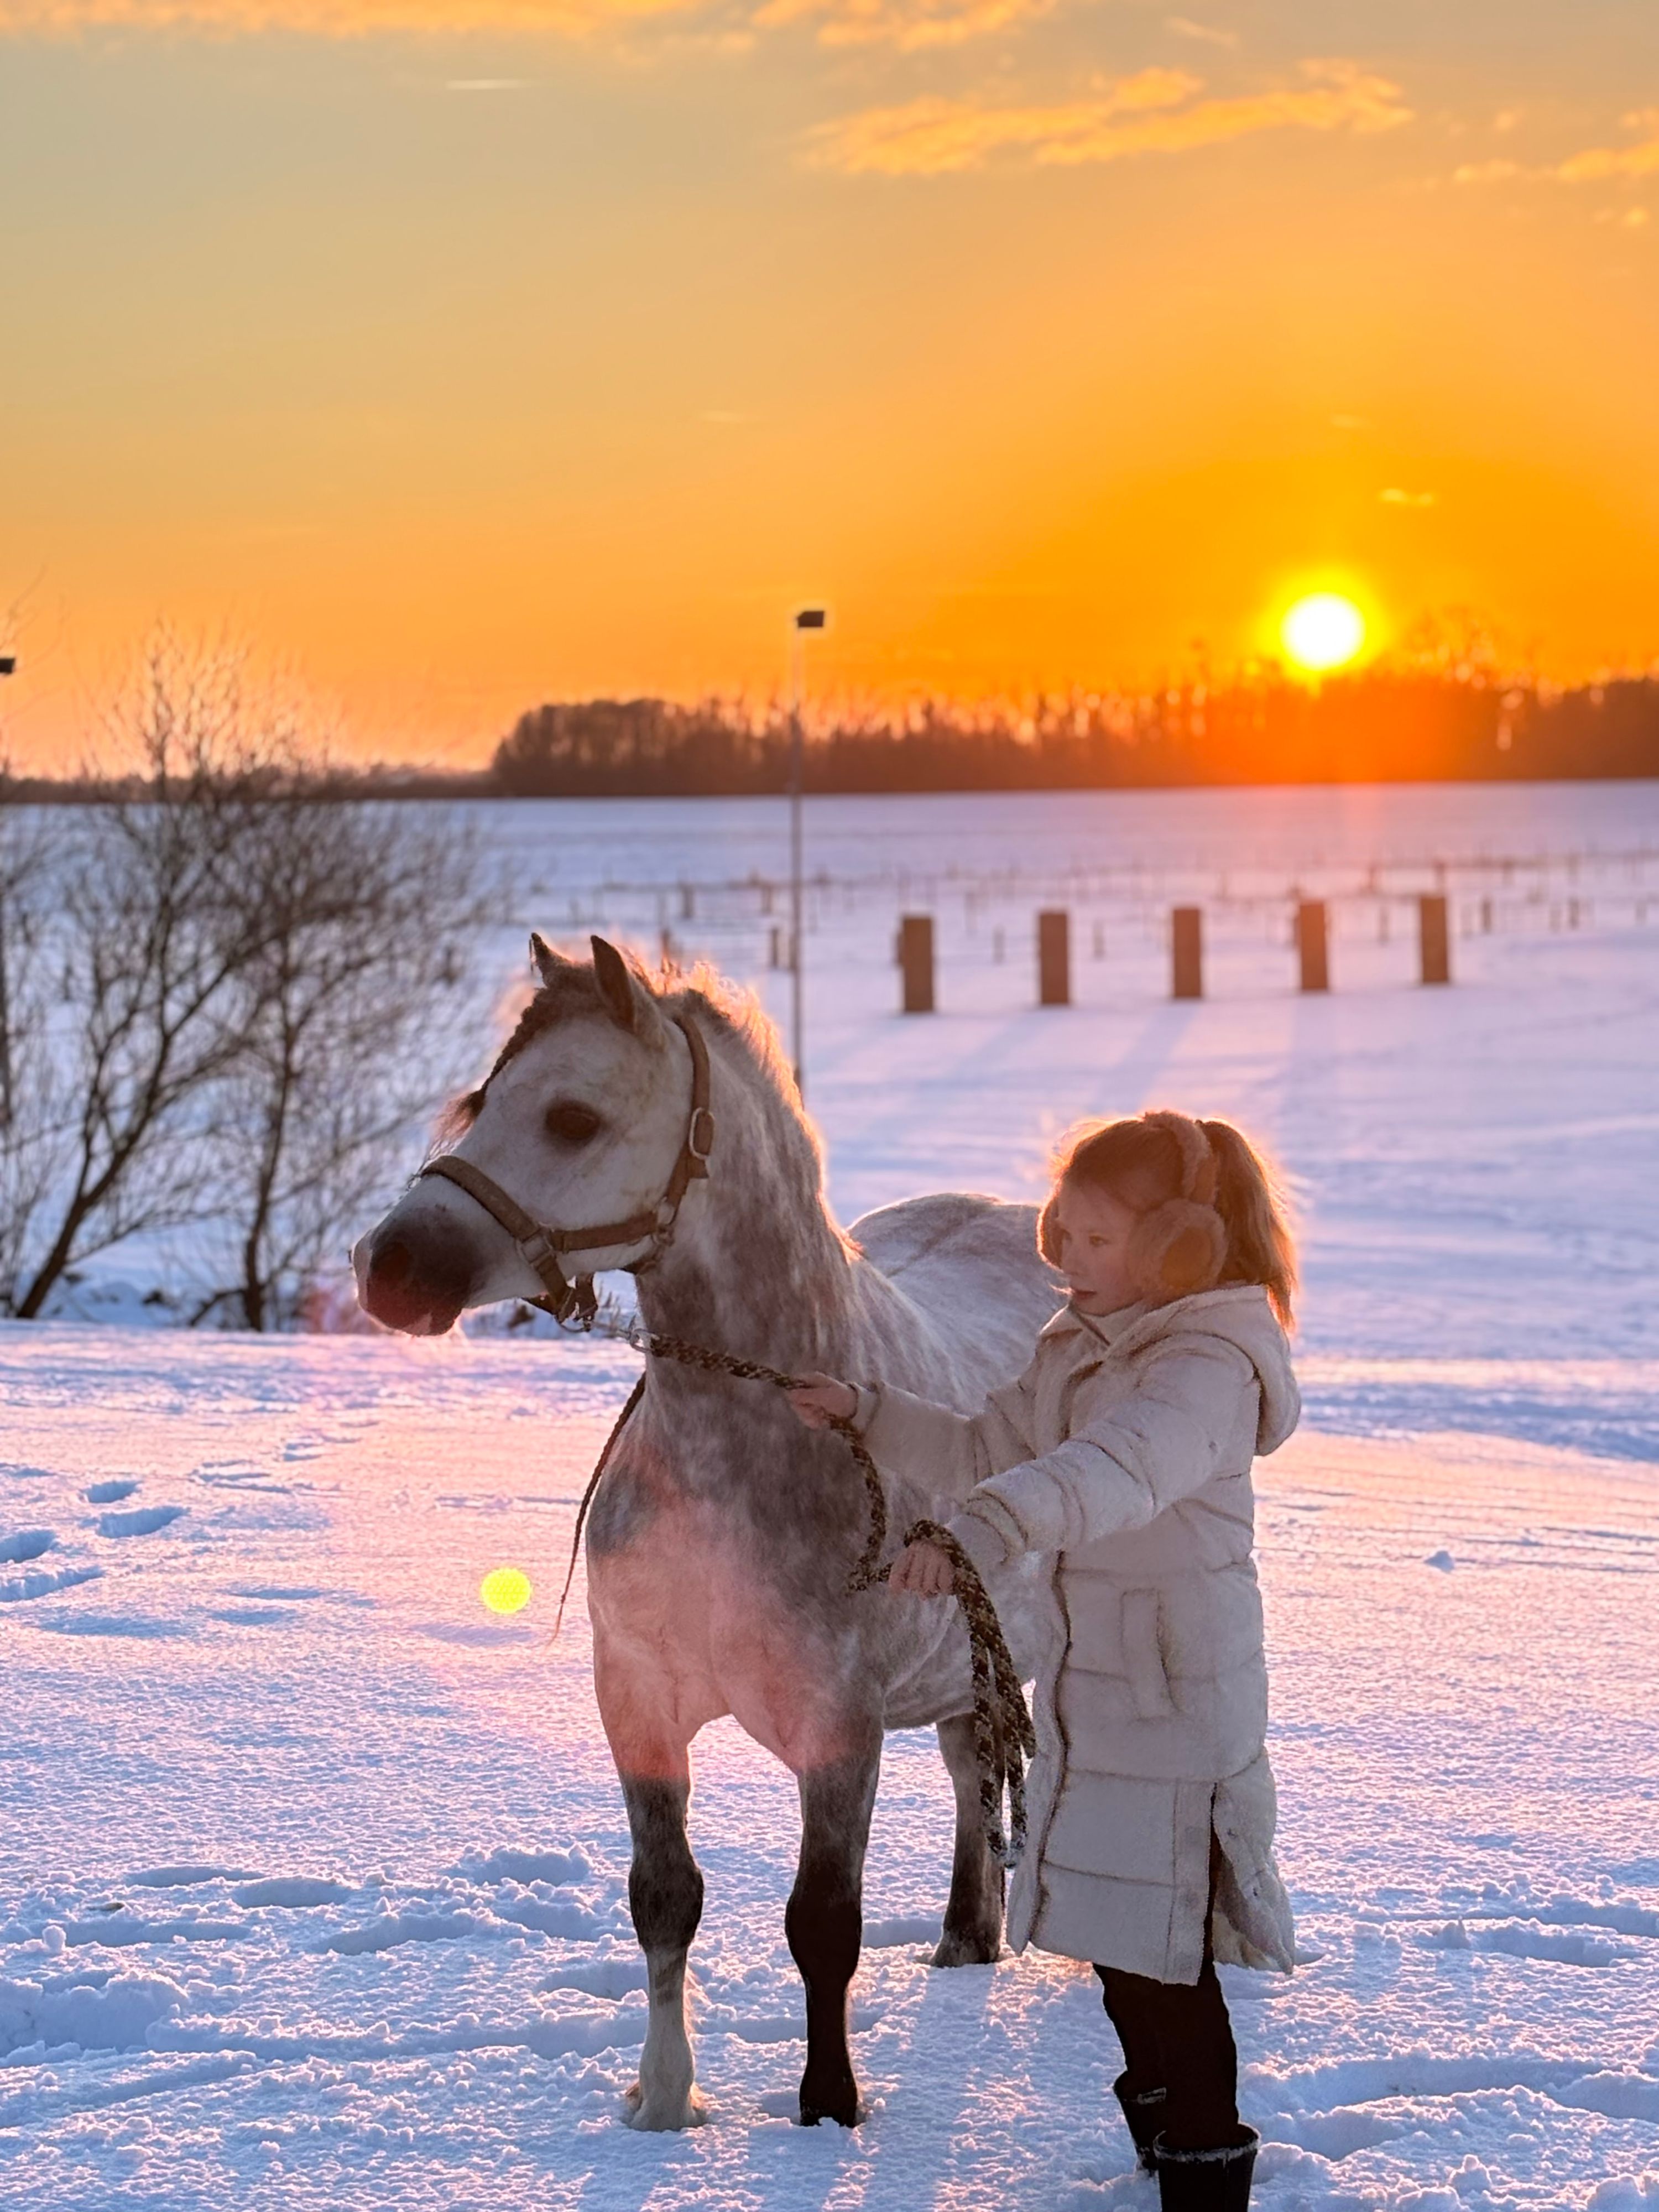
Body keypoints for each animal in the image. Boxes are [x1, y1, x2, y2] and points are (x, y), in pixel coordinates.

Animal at [355, 934, 1058, 2131]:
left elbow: (823, 1924)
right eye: (485, 1100)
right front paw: (664, 2099)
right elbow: (664, 1898)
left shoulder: (840, 1729)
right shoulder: (637, 1698)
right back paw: (968, 1939)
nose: (390, 1267)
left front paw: (827, 2110)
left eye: (574, 1118)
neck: (746, 1457)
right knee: (974, 1769)